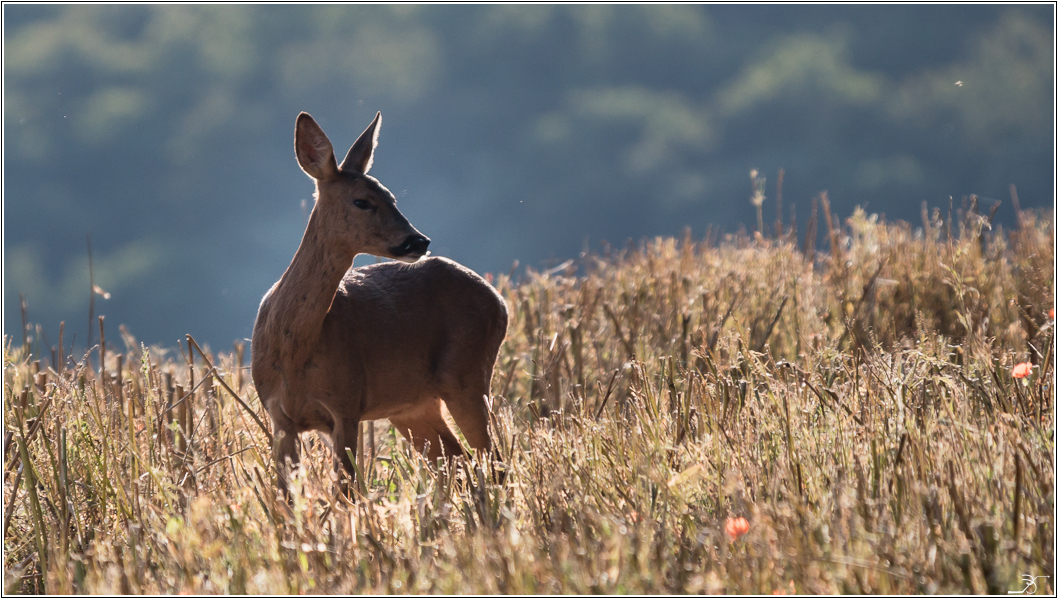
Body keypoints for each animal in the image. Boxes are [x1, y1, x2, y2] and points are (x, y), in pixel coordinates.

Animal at [251, 111, 507, 493]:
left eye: (392, 197)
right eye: (362, 201)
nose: (418, 241)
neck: (295, 351)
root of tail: (500, 300)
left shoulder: (346, 404)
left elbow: (346, 490)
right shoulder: (279, 417)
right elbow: (287, 494)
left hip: (467, 374)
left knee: (492, 461)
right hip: (413, 406)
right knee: (457, 459)